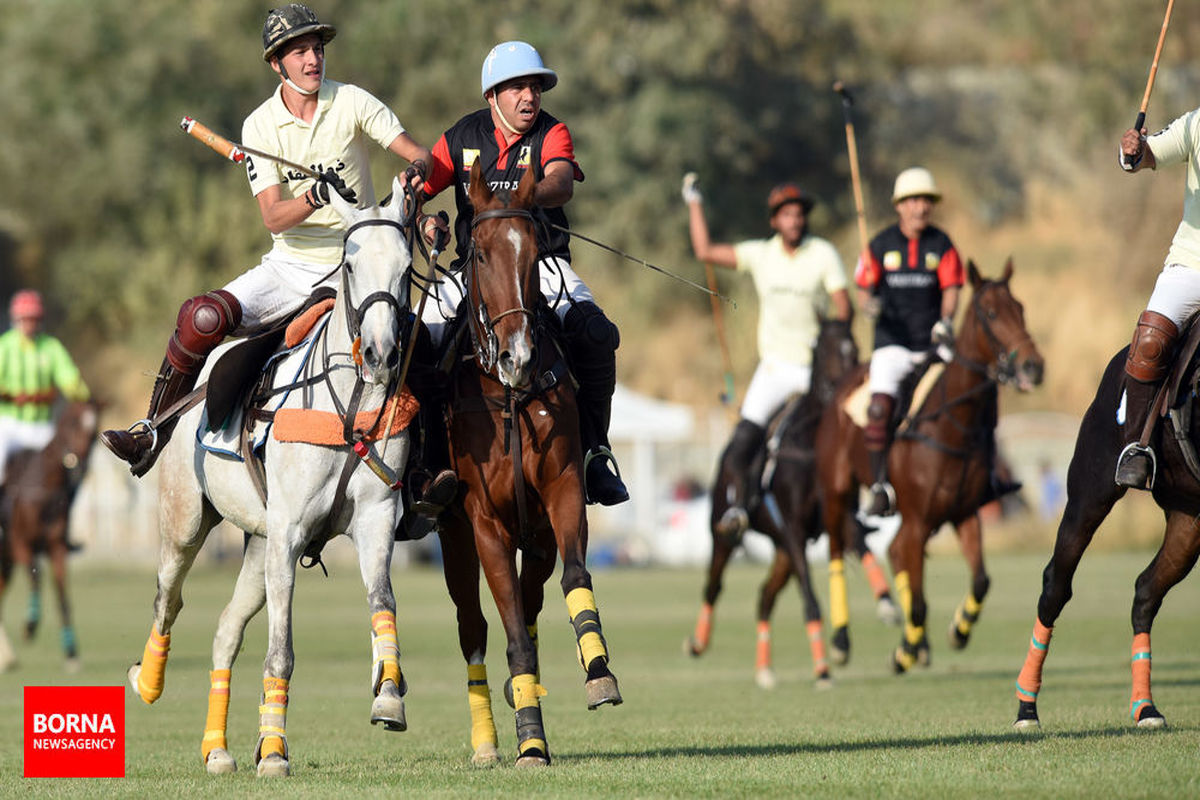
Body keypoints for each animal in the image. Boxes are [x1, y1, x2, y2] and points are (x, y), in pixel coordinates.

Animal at [0, 398, 100, 671]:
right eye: (73, 423)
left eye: (95, 430)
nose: (82, 464)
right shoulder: (21, 544)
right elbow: (36, 578)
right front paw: (30, 627)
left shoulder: (57, 548)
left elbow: (63, 596)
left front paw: (71, 652)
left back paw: (7, 657)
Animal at [126, 178, 417, 777]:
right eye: (350, 264)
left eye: (406, 267)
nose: (381, 355)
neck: (351, 403)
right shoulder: (289, 534)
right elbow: (280, 651)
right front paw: (276, 753)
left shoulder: (375, 519)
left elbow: (383, 602)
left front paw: (388, 697)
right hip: (186, 522)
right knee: (168, 600)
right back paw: (147, 681)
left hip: (259, 545)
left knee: (224, 631)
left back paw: (216, 749)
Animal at [436, 159, 619, 767]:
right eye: (479, 254)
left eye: (536, 249)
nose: (517, 355)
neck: (509, 394)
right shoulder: (484, 522)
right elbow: (509, 632)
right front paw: (529, 742)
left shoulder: (562, 489)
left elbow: (576, 577)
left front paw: (598, 670)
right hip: (455, 538)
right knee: (475, 628)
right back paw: (490, 741)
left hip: (535, 538)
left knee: (535, 601)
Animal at [686, 316, 902, 690]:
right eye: (824, 349)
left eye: (855, 350)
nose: (840, 393)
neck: (812, 445)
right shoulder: (793, 529)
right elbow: (812, 601)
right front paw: (824, 668)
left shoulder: (834, 517)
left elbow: (861, 544)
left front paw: (885, 604)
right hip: (724, 533)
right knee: (713, 586)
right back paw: (698, 641)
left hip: (782, 552)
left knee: (764, 597)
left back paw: (764, 669)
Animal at [816, 260, 1041, 671]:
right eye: (990, 313)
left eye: (1021, 308)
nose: (1034, 366)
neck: (954, 427)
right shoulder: (920, 519)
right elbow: (919, 603)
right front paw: (904, 651)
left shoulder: (964, 513)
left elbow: (981, 580)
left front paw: (957, 631)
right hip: (837, 488)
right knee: (840, 548)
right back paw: (841, 640)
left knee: (895, 551)